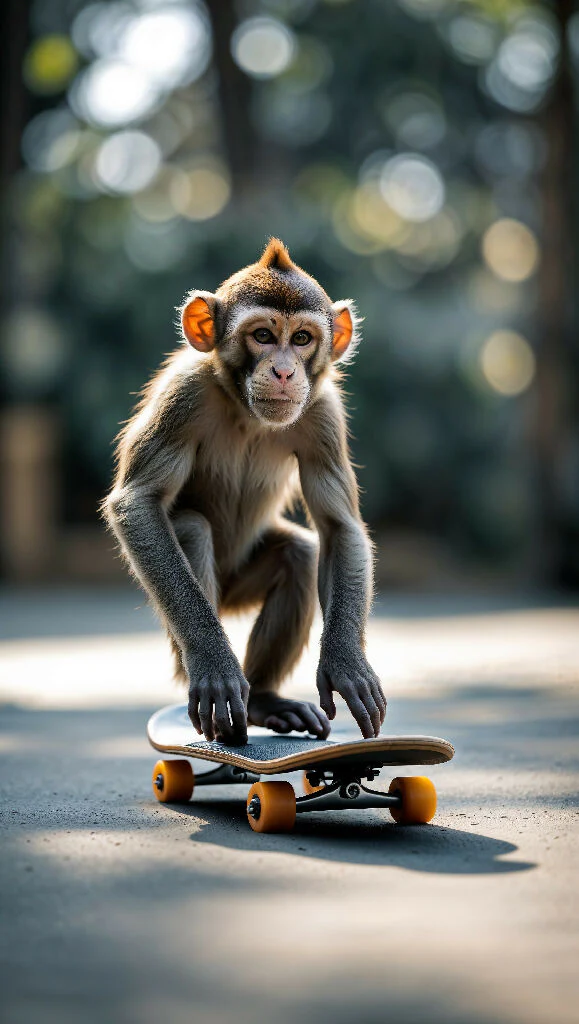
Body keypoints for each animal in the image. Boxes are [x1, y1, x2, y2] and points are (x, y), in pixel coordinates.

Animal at [103, 238, 386, 745]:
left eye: (302, 339)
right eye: (263, 336)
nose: (284, 371)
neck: (244, 409)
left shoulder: (323, 414)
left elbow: (339, 526)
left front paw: (346, 662)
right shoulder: (183, 396)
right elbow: (137, 502)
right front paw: (214, 663)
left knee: (300, 554)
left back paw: (264, 701)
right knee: (191, 529)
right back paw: (216, 693)